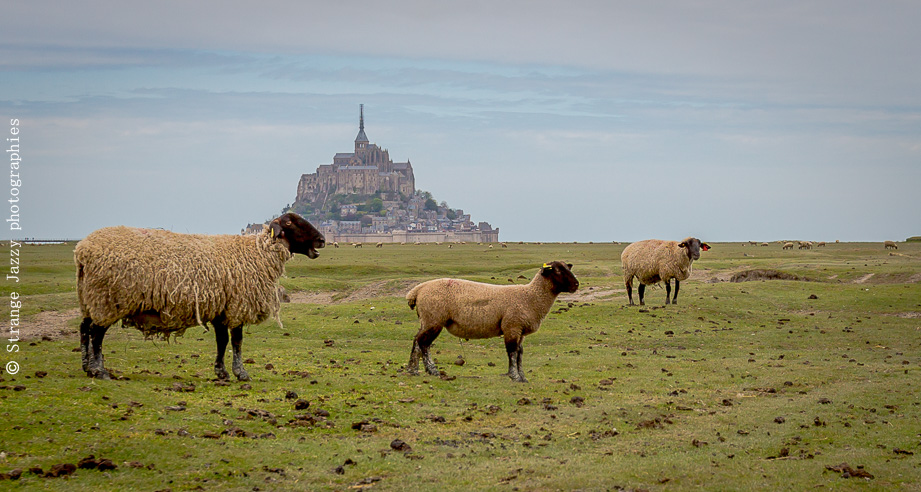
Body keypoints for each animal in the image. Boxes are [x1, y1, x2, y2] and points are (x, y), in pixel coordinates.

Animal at [74, 213, 325, 380]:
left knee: (84, 328)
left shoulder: (220, 308)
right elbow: (237, 341)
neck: (256, 252)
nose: (322, 240)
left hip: (89, 297)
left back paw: (87, 366)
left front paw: (221, 372)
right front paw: (240, 373)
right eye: (291, 222)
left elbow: (222, 341)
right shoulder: (237, 305)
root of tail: (82, 250)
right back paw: (100, 370)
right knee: (97, 333)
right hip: (108, 299)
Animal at [405, 261, 579, 383]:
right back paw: (431, 370)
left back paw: (413, 369)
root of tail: (417, 290)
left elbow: (520, 353)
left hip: (427, 319)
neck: (530, 296)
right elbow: (512, 352)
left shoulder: (520, 330)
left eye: (568, 268)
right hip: (434, 319)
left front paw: (522, 377)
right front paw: (514, 376)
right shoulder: (512, 326)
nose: (576, 284)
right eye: (557, 270)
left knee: (417, 341)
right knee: (424, 343)